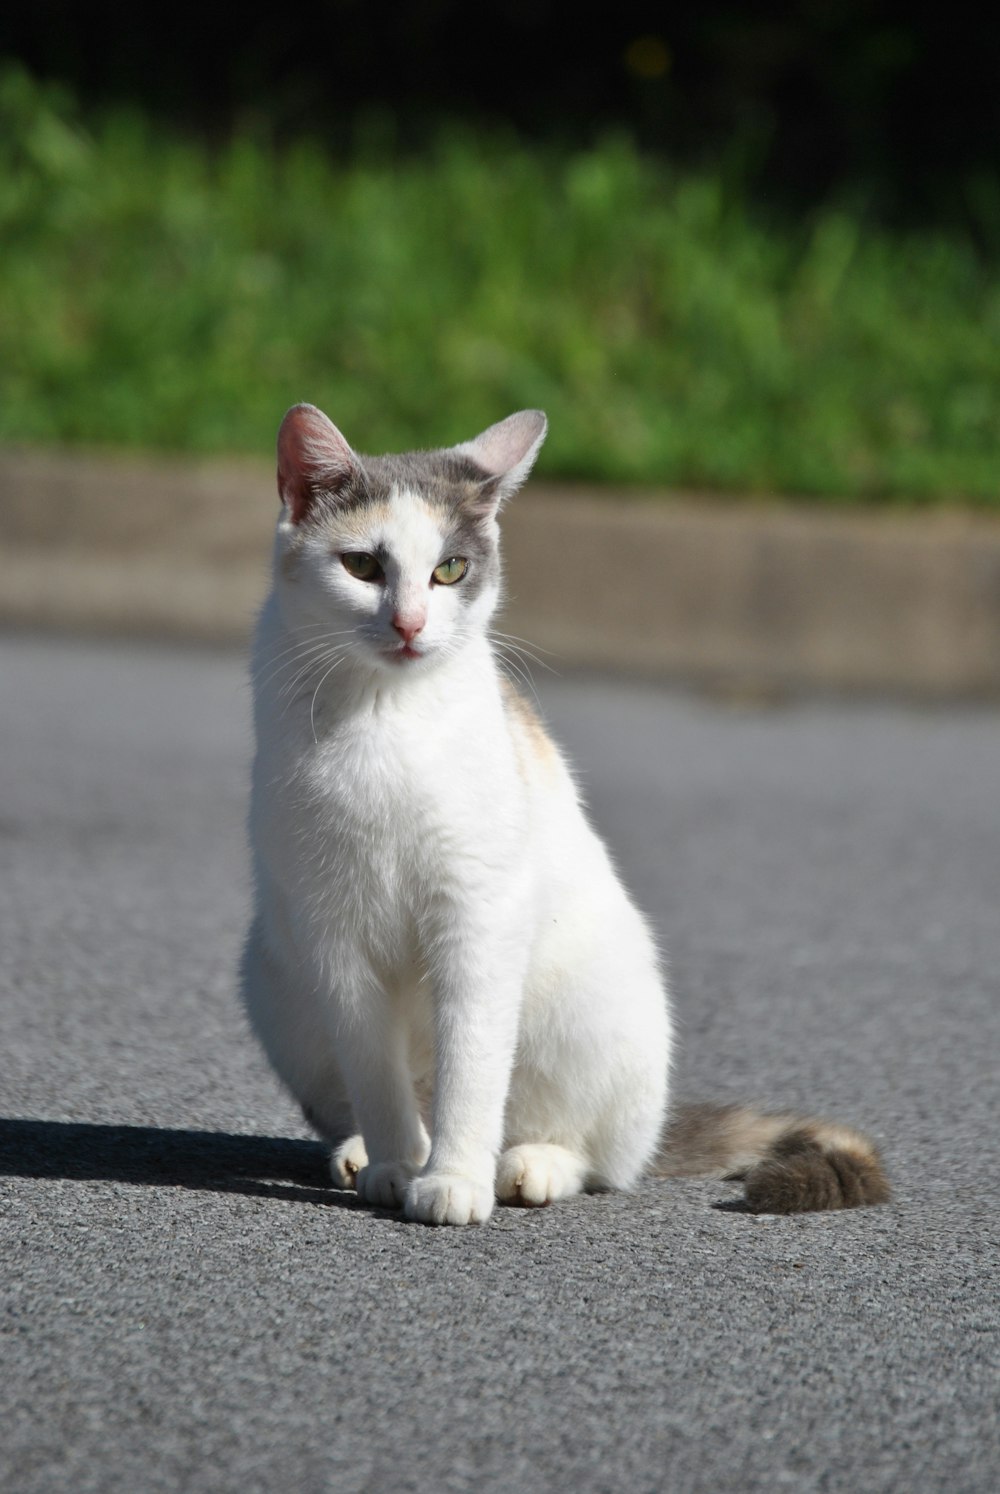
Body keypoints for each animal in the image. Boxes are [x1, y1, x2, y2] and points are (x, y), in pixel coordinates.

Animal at [242, 400, 890, 1225]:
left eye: (449, 570)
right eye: (363, 567)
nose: (411, 624)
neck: (382, 717)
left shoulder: (479, 915)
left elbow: (472, 1068)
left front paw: (452, 1181)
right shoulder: (333, 932)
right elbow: (377, 1074)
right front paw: (396, 1164)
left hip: (594, 1006)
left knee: (598, 1154)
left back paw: (529, 1165)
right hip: (275, 980)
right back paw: (366, 1153)